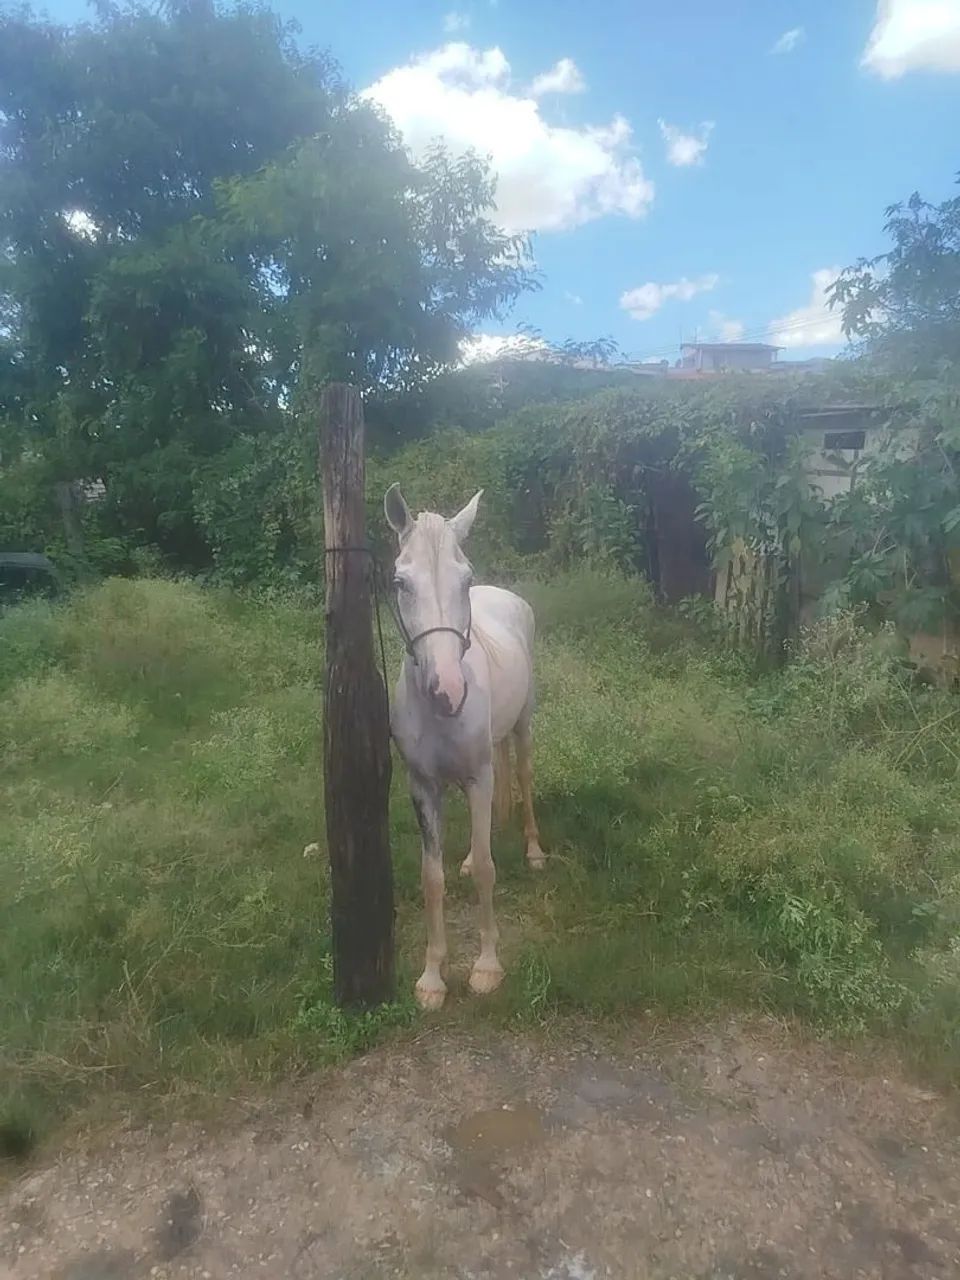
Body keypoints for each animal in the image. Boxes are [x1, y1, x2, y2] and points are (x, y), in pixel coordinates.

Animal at [384, 484, 546, 1010]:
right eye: (399, 581)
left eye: (465, 579)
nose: (448, 691)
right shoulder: (422, 786)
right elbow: (431, 877)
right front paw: (432, 978)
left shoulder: (478, 777)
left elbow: (488, 875)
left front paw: (487, 967)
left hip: (523, 725)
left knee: (522, 774)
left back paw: (534, 850)